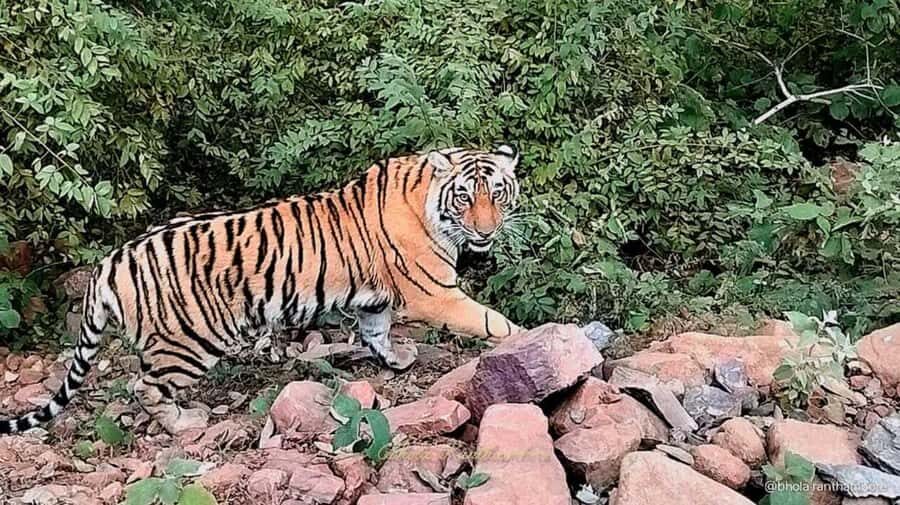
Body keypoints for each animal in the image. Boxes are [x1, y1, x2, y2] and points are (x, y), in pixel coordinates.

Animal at [0, 145, 523, 434]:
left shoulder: (375, 301)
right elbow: (491, 321)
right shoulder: (435, 292)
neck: (428, 202)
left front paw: (395, 361)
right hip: (189, 341)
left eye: (497, 193)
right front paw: (525, 338)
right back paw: (185, 422)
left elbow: (375, 331)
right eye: (464, 196)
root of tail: (110, 263)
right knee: (144, 386)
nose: (486, 231)